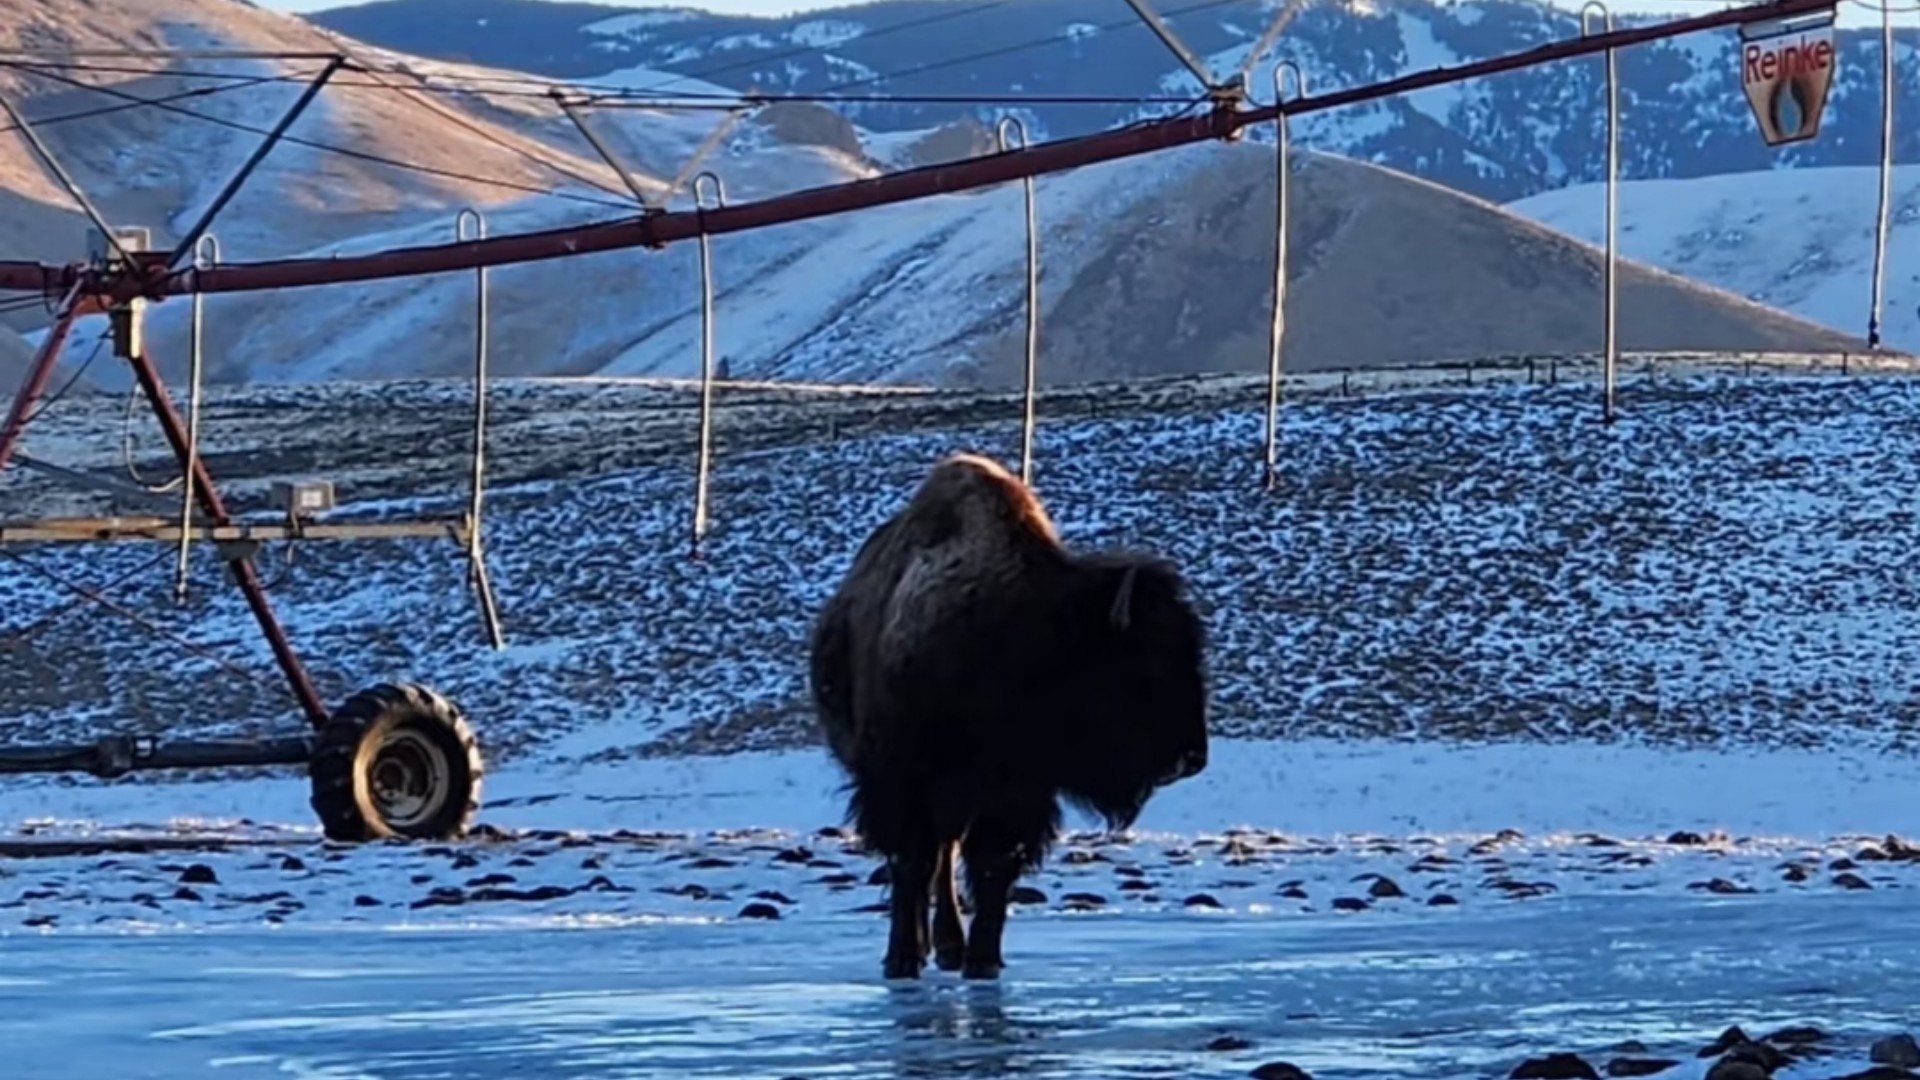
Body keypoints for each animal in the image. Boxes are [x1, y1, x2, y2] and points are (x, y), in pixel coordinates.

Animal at [807, 451, 1210, 980]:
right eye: (1151, 659)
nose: (1193, 758)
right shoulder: (901, 779)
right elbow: (910, 861)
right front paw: (902, 960)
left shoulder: (1017, 790)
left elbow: (993, 866)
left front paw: (983, 961)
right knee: (929, 860)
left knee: (946, 854)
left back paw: (951, 948)